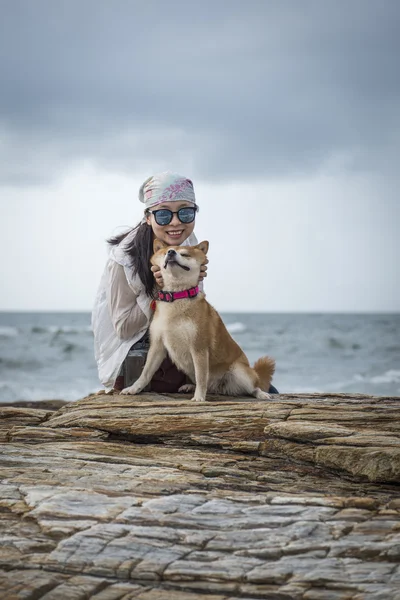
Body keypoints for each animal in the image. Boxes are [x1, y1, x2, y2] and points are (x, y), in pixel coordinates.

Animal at [122, 239, 276, 404]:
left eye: (184, 254)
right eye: (166, 252)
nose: (171, 252)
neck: (177, 297)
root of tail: (218, 387)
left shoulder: (199, 347)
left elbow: (201, 377)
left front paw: (199, 397)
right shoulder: (157, 346)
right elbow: (145, 373)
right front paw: (134, 388)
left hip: (239, 371)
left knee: (253, 387)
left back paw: (261, 394)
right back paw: (189, 386)